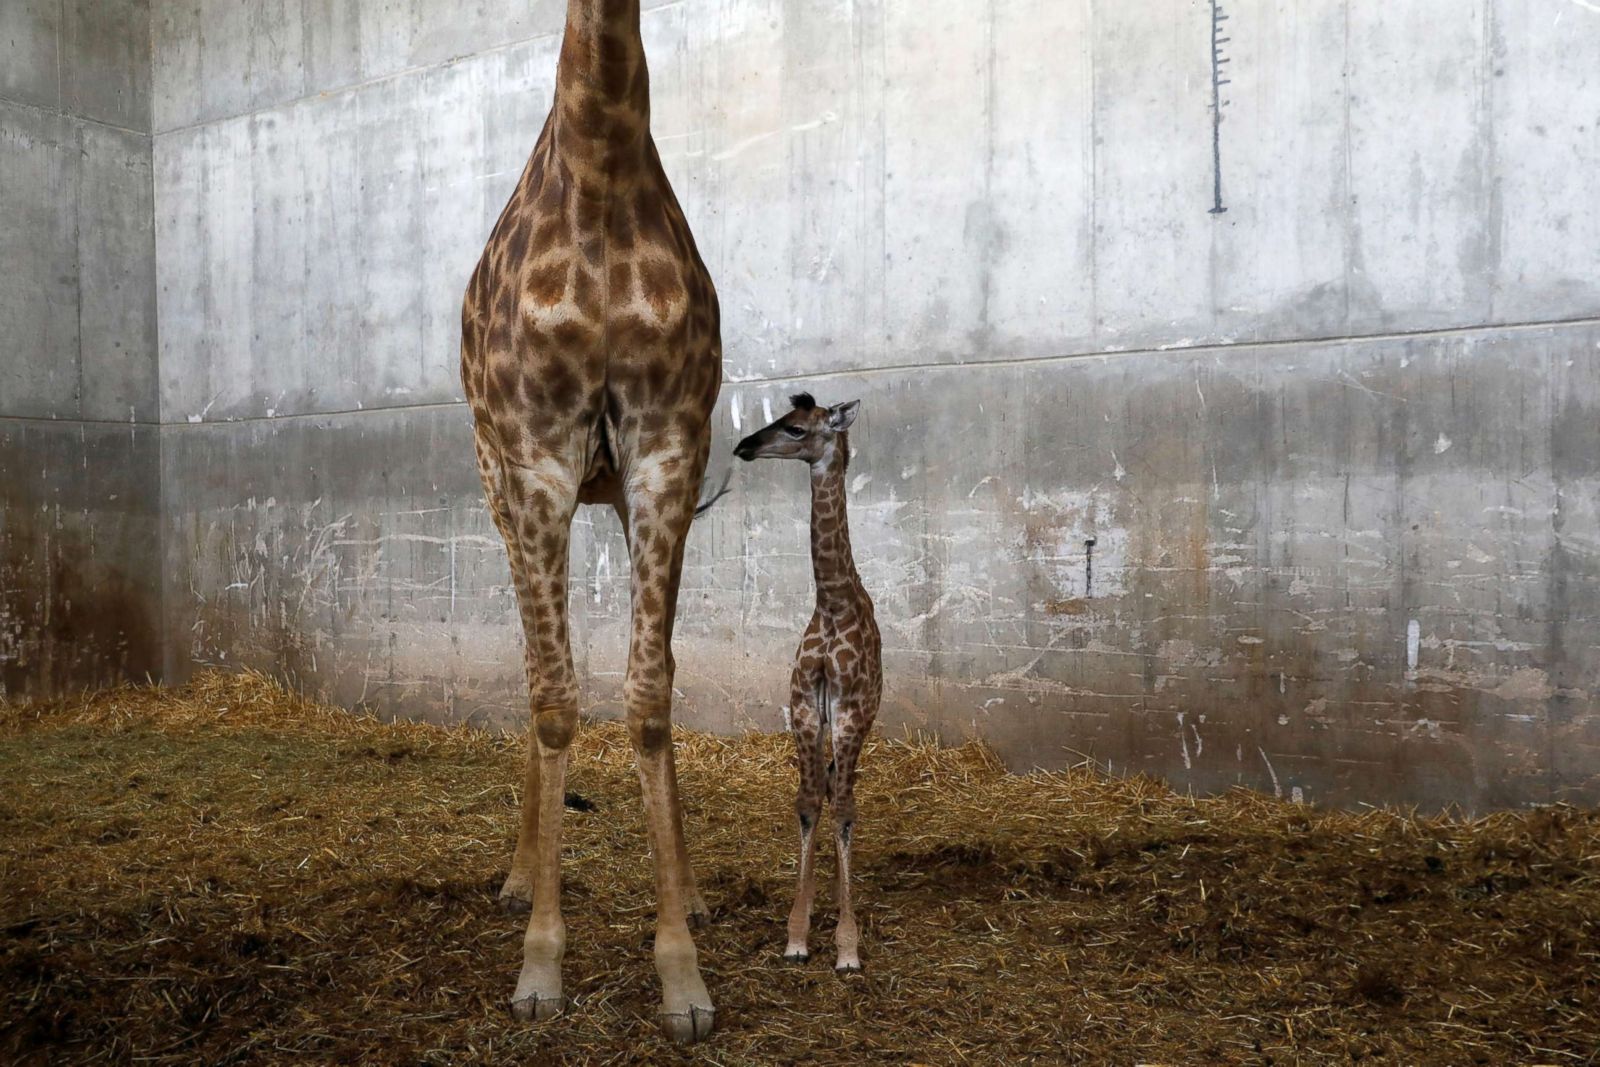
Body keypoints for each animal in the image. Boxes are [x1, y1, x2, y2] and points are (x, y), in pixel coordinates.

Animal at [457, 0, 720, 1043]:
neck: (602, 166)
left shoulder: (666, 453)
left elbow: (649, 694)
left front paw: (682, 973)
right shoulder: (536, 461)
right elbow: (555, 698)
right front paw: (540, 963)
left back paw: (689, 892)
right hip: (500, 484)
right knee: (537, 669)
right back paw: (517, 877)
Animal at [732, 395, 883, 979]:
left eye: (796, 428)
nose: (744, 445)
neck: (835, 604)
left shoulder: (849, 711)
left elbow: (842, 809)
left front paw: (847, 947)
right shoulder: (801, 708)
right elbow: (806, 803)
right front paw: (797, 933)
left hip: (863, 719)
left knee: (845, 796)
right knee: (827, 788)